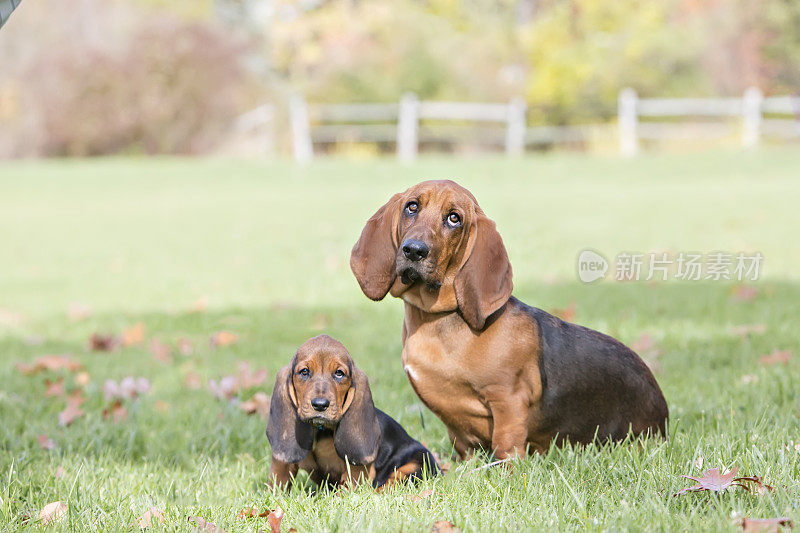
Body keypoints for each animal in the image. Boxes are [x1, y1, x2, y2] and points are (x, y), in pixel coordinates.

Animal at [266, 334, 440, 488]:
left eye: (339, 373)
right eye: (304, 372)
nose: (320, 405)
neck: (320, 430)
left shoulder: (357, 472)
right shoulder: (281, 463)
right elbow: (276, 484)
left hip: (418, 462)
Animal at [350, 180, 668, 462]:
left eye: (454, 218)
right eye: (412, 207)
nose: (414, 250)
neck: (438, 320)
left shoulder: (509, 399)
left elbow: (505, 445)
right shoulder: (458, 430)